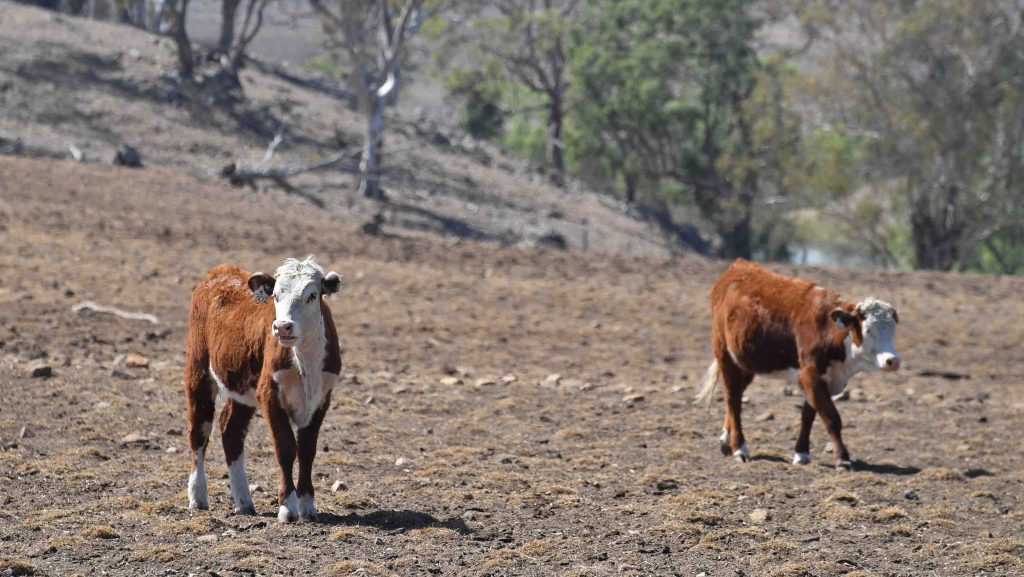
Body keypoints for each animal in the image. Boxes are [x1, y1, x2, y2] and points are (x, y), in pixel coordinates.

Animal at [184, 256, 342, 522]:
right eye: (276, 295)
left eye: (312, 295)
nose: (283, 326)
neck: (305, 362)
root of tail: (220, 272)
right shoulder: (269, 393)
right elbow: (285, 447)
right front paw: (288, 508)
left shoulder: (322, 398)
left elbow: (307, 450)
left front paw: (308, 506)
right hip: (198, 370)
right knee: (199, 431)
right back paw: (198, 496)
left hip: (242, 387)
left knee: (231, 429)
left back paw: (244, 502)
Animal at [695, 259, 901, 471]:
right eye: (868, 330)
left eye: (893, 330)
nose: (892, 360)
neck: (830, 330)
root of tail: (738, 265)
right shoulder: (810, 374)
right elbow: (831, 417)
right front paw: (842, 459)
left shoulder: (822, 379)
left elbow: (808, 416)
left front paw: (801, 454)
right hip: (725, 353)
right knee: (733, 399)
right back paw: (739, 448)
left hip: (746, 363)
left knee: (736, 395)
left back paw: (726, 441)